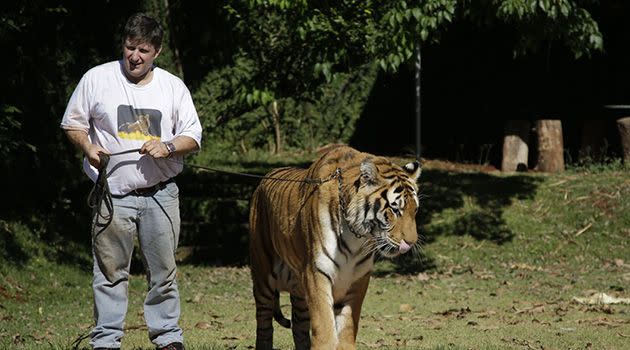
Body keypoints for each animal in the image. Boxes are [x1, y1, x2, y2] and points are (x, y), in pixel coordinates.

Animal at [249, 145, 422, 350]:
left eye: (415, 210)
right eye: (395, 210)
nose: (411, 242)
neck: (357, 237)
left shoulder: (358, 278)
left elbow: (347, 325)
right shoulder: (317, 272)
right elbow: (324, 325)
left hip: (299, 290)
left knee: (299, 325)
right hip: (263, 278)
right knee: (264, 324)